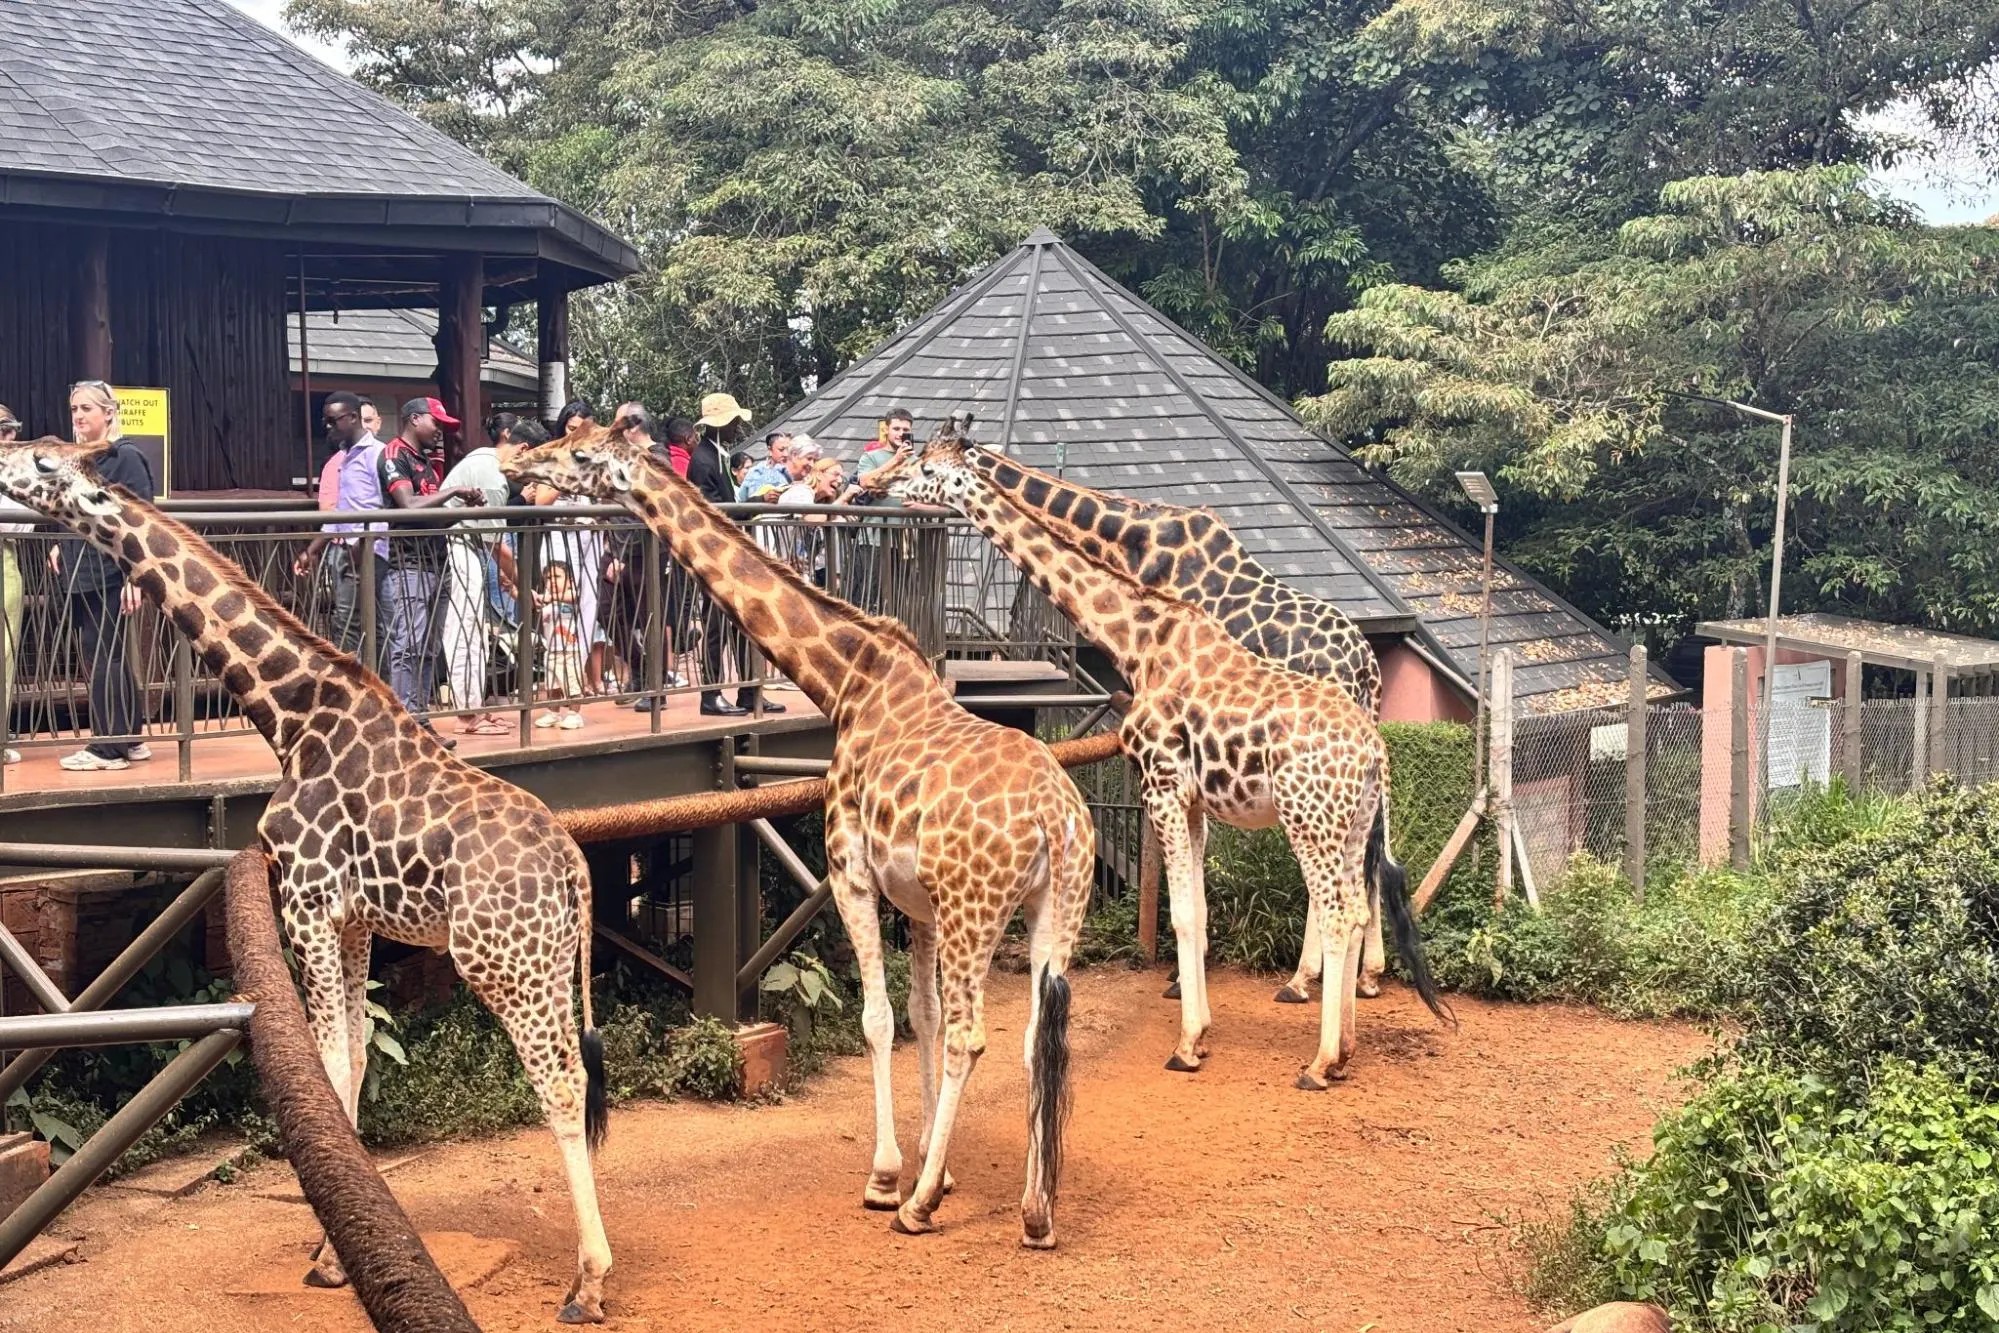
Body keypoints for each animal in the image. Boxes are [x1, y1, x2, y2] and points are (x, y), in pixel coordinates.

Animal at [0, 439, 614, 1324]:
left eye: (46, 464)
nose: (6, 460)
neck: (290, 716)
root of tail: (573, 866)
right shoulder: (355, 920)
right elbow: (352, 1058)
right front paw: (333, 1250)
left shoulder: (306, 900)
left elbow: (324, 1062)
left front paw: (329, 1255)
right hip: (551, 960)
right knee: (583, 1072)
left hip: (503, 962)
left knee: (560, 1083)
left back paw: (588, 1282)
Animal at [503, 422, 1095, 1246]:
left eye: (581, 455)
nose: (516, 462)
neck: (846, 683)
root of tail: (1055, 816)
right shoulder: (918, 905)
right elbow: (919, 1016)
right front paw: (934, 1164)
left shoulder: (852, 873)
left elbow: (880, 1019)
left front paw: (892, 1177)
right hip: (1054, 907)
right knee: (1037, 1031)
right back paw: (1036, 1211)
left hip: (977, 909)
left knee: (974, 1035)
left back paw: (920, 1210)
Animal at [889, 433, 1453, 1085]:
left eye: (924, 466)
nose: (882, 483)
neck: (1139, 640)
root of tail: (1370, 732)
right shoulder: (1194, 801)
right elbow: (1199, 910)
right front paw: (1199, 1024)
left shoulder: (1159, 787)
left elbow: (1180, 912)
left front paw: (1186, 1040)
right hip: (1353, 818)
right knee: (1361, 900)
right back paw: (1349, 1039)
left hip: (1307, 819)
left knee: (1337, 909)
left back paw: (1317, 1050)